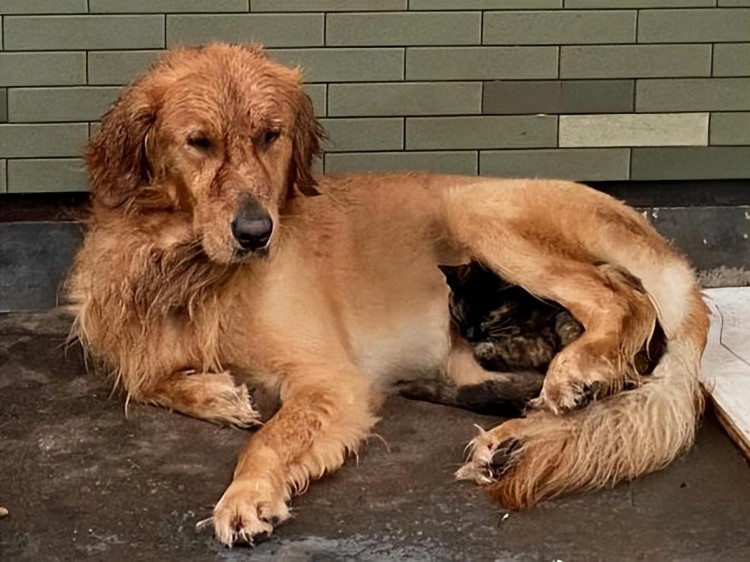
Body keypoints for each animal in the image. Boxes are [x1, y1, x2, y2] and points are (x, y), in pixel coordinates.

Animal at [67, 44, 712, 548]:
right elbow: (144, 379)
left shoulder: (328, 380)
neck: (185, 267)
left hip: (478, 210)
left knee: (618, 301)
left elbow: (268, 438)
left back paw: (577, 370)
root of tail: (637, 220)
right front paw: (220, 395)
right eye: (198, 143)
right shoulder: (128, 345)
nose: (255, 233)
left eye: (270, 137)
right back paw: (509, 442)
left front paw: (245, 495)